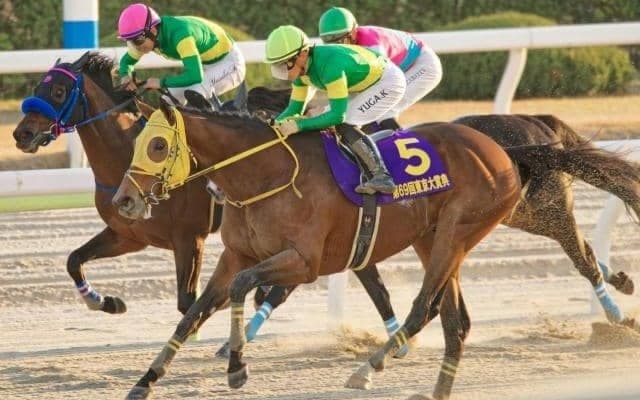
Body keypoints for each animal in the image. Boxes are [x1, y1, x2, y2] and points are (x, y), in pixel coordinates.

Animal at [112, 98, 522, 399]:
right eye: (138, 143)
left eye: (159, 146)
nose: (124, 200)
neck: (267, 175)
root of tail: (499, 151)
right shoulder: (235, 255)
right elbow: (193, 314)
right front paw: (145, 381)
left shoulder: (304, 262)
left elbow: (242, 286)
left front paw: (237, 367)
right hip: (432, 237)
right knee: (455, 321)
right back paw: (434, 390)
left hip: (457, 231)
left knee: (424, 306)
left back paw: (365, 369)